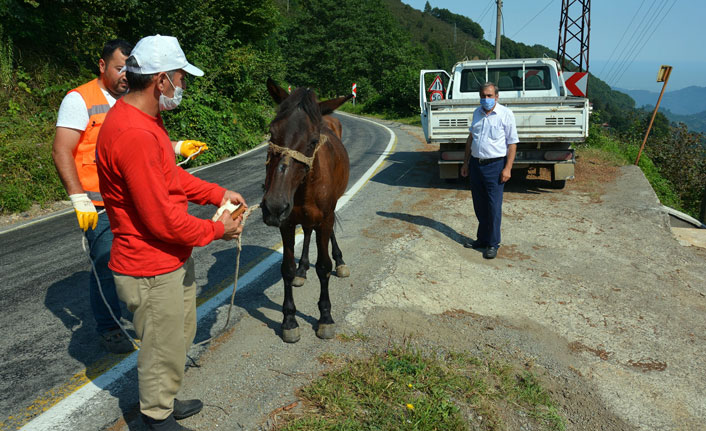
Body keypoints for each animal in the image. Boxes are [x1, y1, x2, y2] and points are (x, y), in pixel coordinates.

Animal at [262, 79, 352, 344]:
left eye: (313, 141)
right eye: (272, 133)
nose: (274, 205)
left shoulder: (325, 216)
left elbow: (323, 267)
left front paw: (325, 317)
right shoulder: (286, 222)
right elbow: (287, 269)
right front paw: (289, 320)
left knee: (327, 233)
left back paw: (340, 261)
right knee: (308, 231)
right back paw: (303, 268)